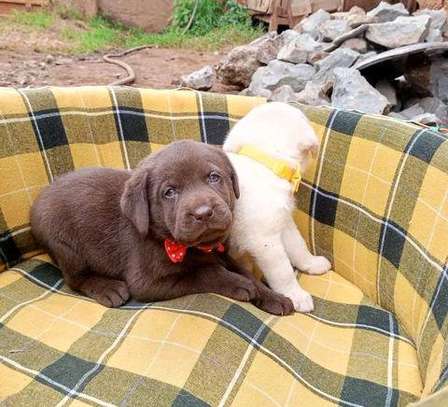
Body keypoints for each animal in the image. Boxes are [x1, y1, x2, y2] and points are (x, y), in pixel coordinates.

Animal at [29, 140, 292, 316]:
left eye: (214, 177)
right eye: (169, 192)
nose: (203, 213)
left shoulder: (222, 252)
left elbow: (245, 271)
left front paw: (273, 296)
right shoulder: (146, 282)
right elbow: (204, 272)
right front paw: (239, 284)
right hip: (65, 246)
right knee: (75, 279)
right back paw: (108, 288)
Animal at [224, 103, 332, 312]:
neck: (266, 163)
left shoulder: (284, 223)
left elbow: (298, 246)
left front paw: (311, 263)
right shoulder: (265, 241)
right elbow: (283, 271)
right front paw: (295, 295)